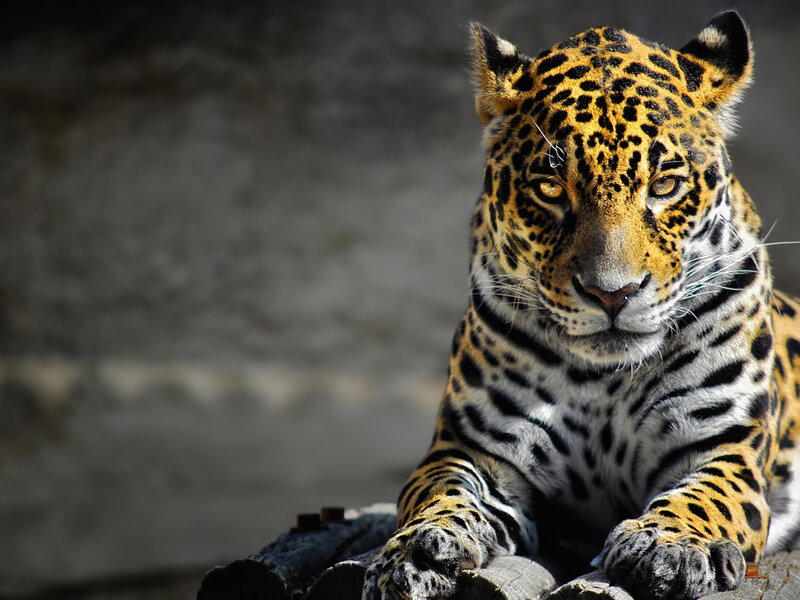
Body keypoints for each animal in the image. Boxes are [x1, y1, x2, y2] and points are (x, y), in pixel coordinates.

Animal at [362, 10, 800, 600]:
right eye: (550, 189)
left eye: (665, 185)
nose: (611, 293)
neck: (606, 380)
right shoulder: (474, 450)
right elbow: (439, 491)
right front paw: (415, 551)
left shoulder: (726, 446)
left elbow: (705, 498)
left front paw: (668, 545)